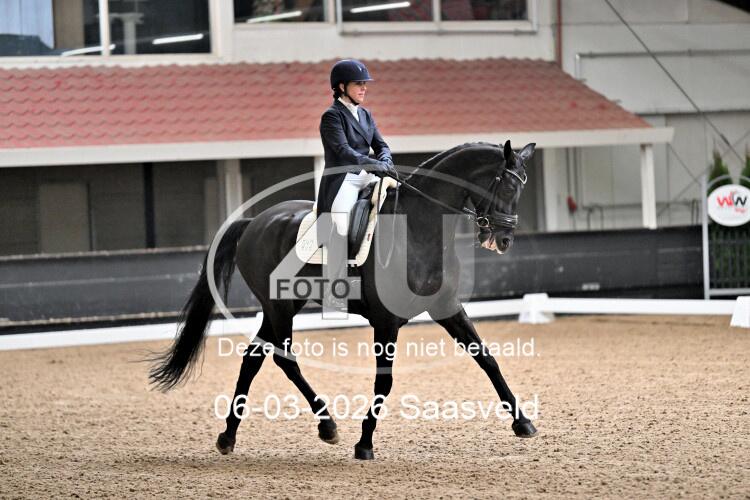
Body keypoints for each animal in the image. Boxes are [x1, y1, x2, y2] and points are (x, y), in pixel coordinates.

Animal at [149, 140, 537, 460]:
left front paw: (523, 423)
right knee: (285, 360)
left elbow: (487, 359)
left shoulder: (446, 308)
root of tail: (255, 222)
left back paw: (228, 436)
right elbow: (385, 381)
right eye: (505, 184)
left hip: (282, 305)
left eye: (523, 186)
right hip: (279, 307)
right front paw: (364, 443)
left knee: (253, 358)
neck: (418, 230)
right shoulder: (385, 321)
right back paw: (327, 426)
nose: (502, 240)